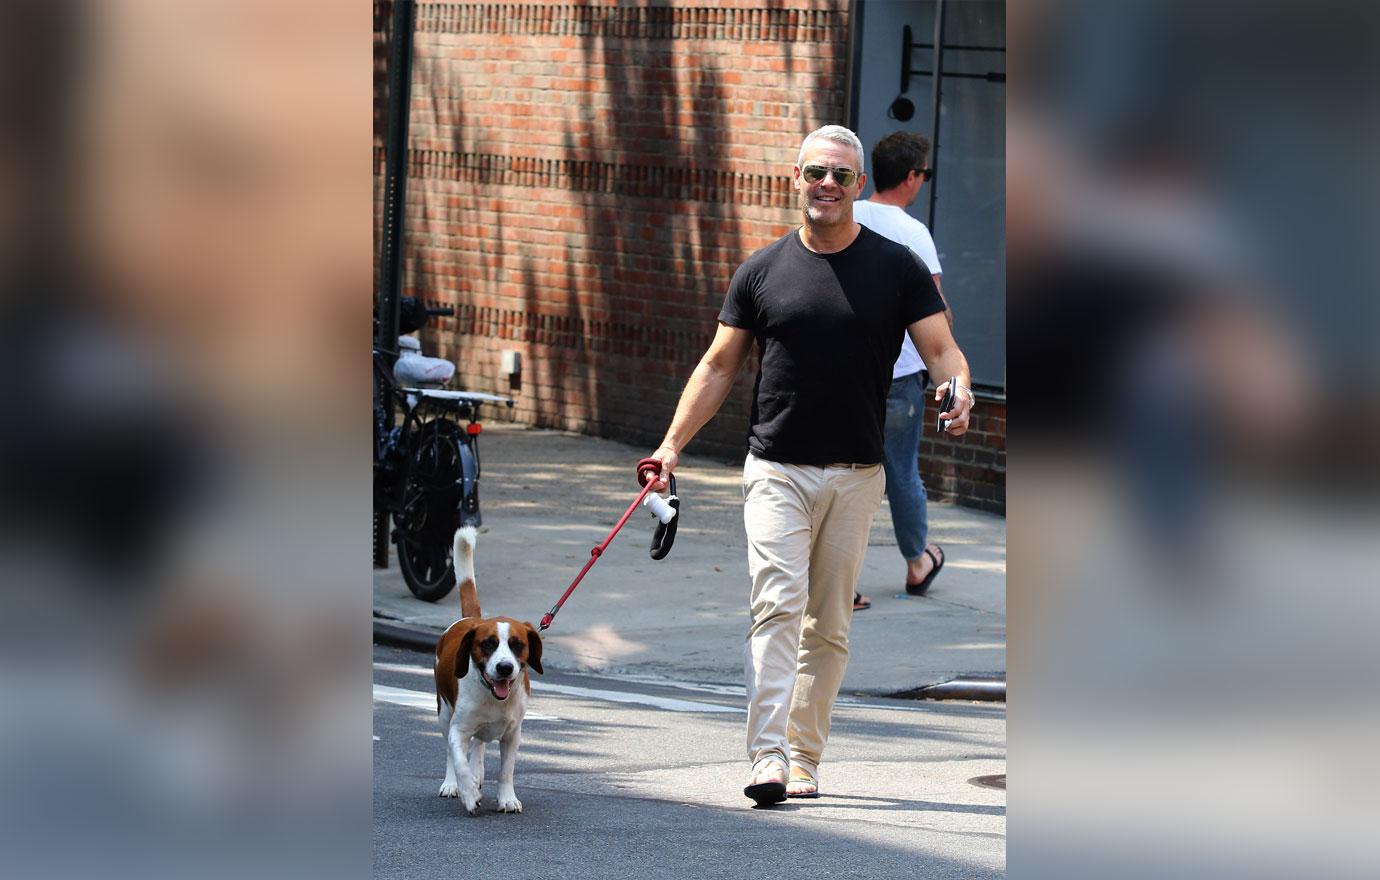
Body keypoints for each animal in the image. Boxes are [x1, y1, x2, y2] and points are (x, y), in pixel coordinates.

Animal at [433, 526, 540, 816]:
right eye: (488, 644)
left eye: (517, 645)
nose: (504, 667)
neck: (493, 697)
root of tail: (472, 619)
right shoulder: (457, 730)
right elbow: (458, 759)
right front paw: (468, 793)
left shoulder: (513, 735)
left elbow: (506, 771)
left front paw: (507, 798)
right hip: (444, 713)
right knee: (450, 752)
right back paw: (453, 784)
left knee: (479, 743)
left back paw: (477, 771)